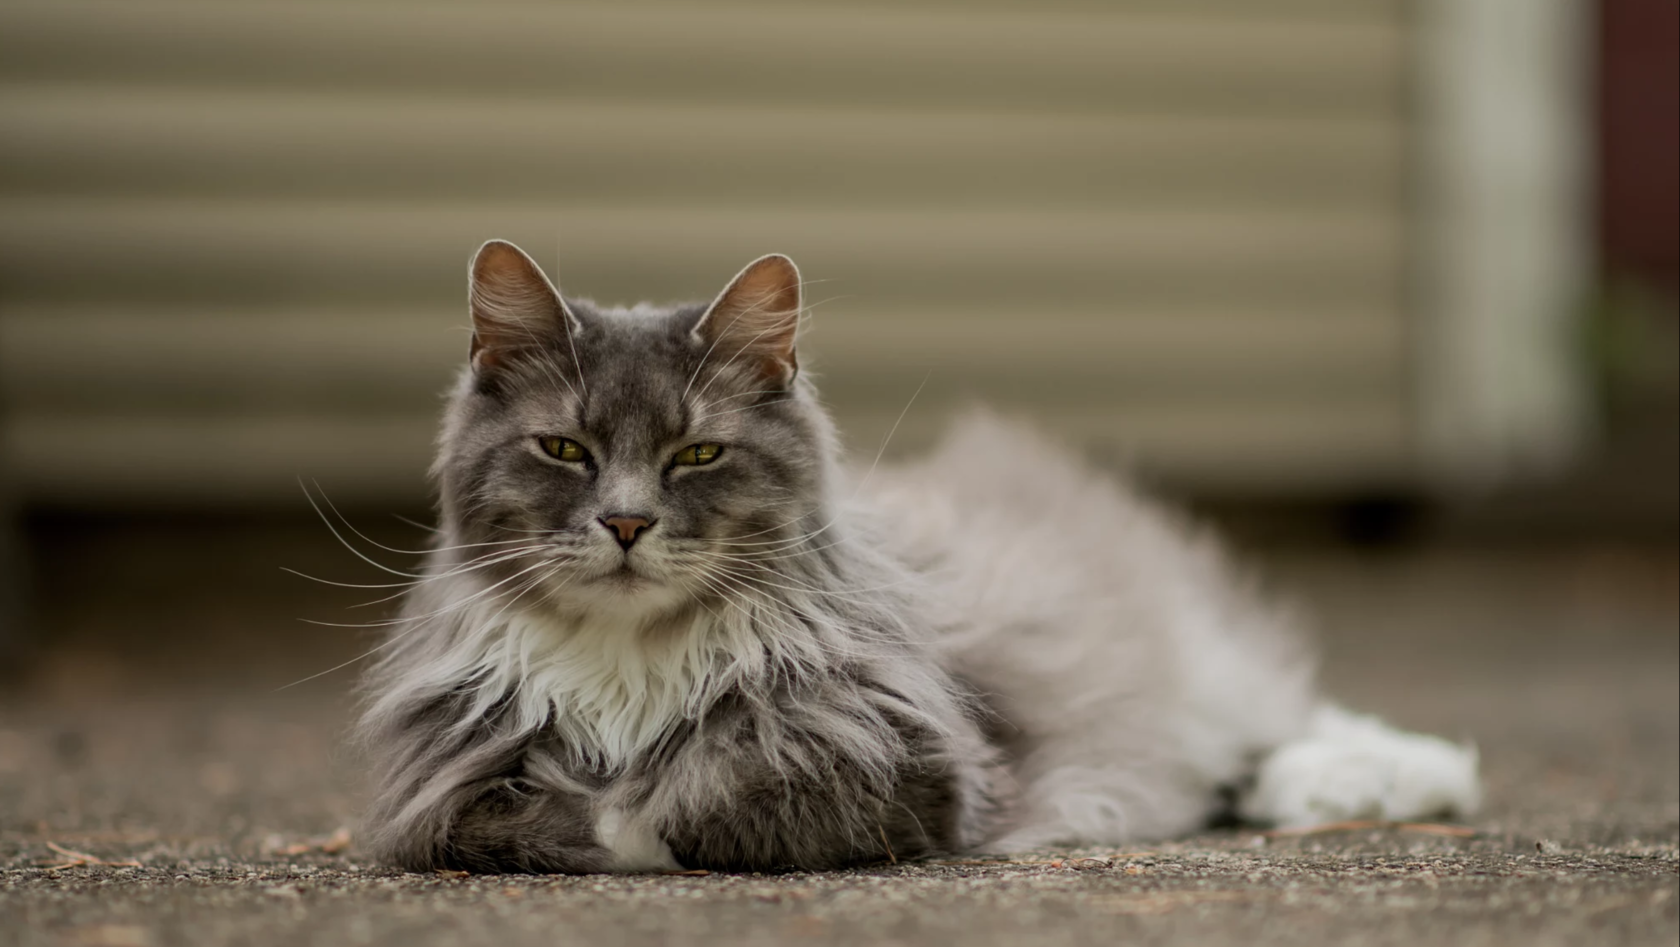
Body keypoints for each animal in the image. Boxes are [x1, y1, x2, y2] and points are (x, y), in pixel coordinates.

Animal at [347, 241, 1478, 873]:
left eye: (697, 454)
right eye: (567, 451)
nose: (626, 523)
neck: (631, 671)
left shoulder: (916, 765)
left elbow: (704, 801)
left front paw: (639, 815)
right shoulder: (439, 793)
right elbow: (535, 814)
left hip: (1206, 675)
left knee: (1296, 720)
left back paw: (1395, 778)